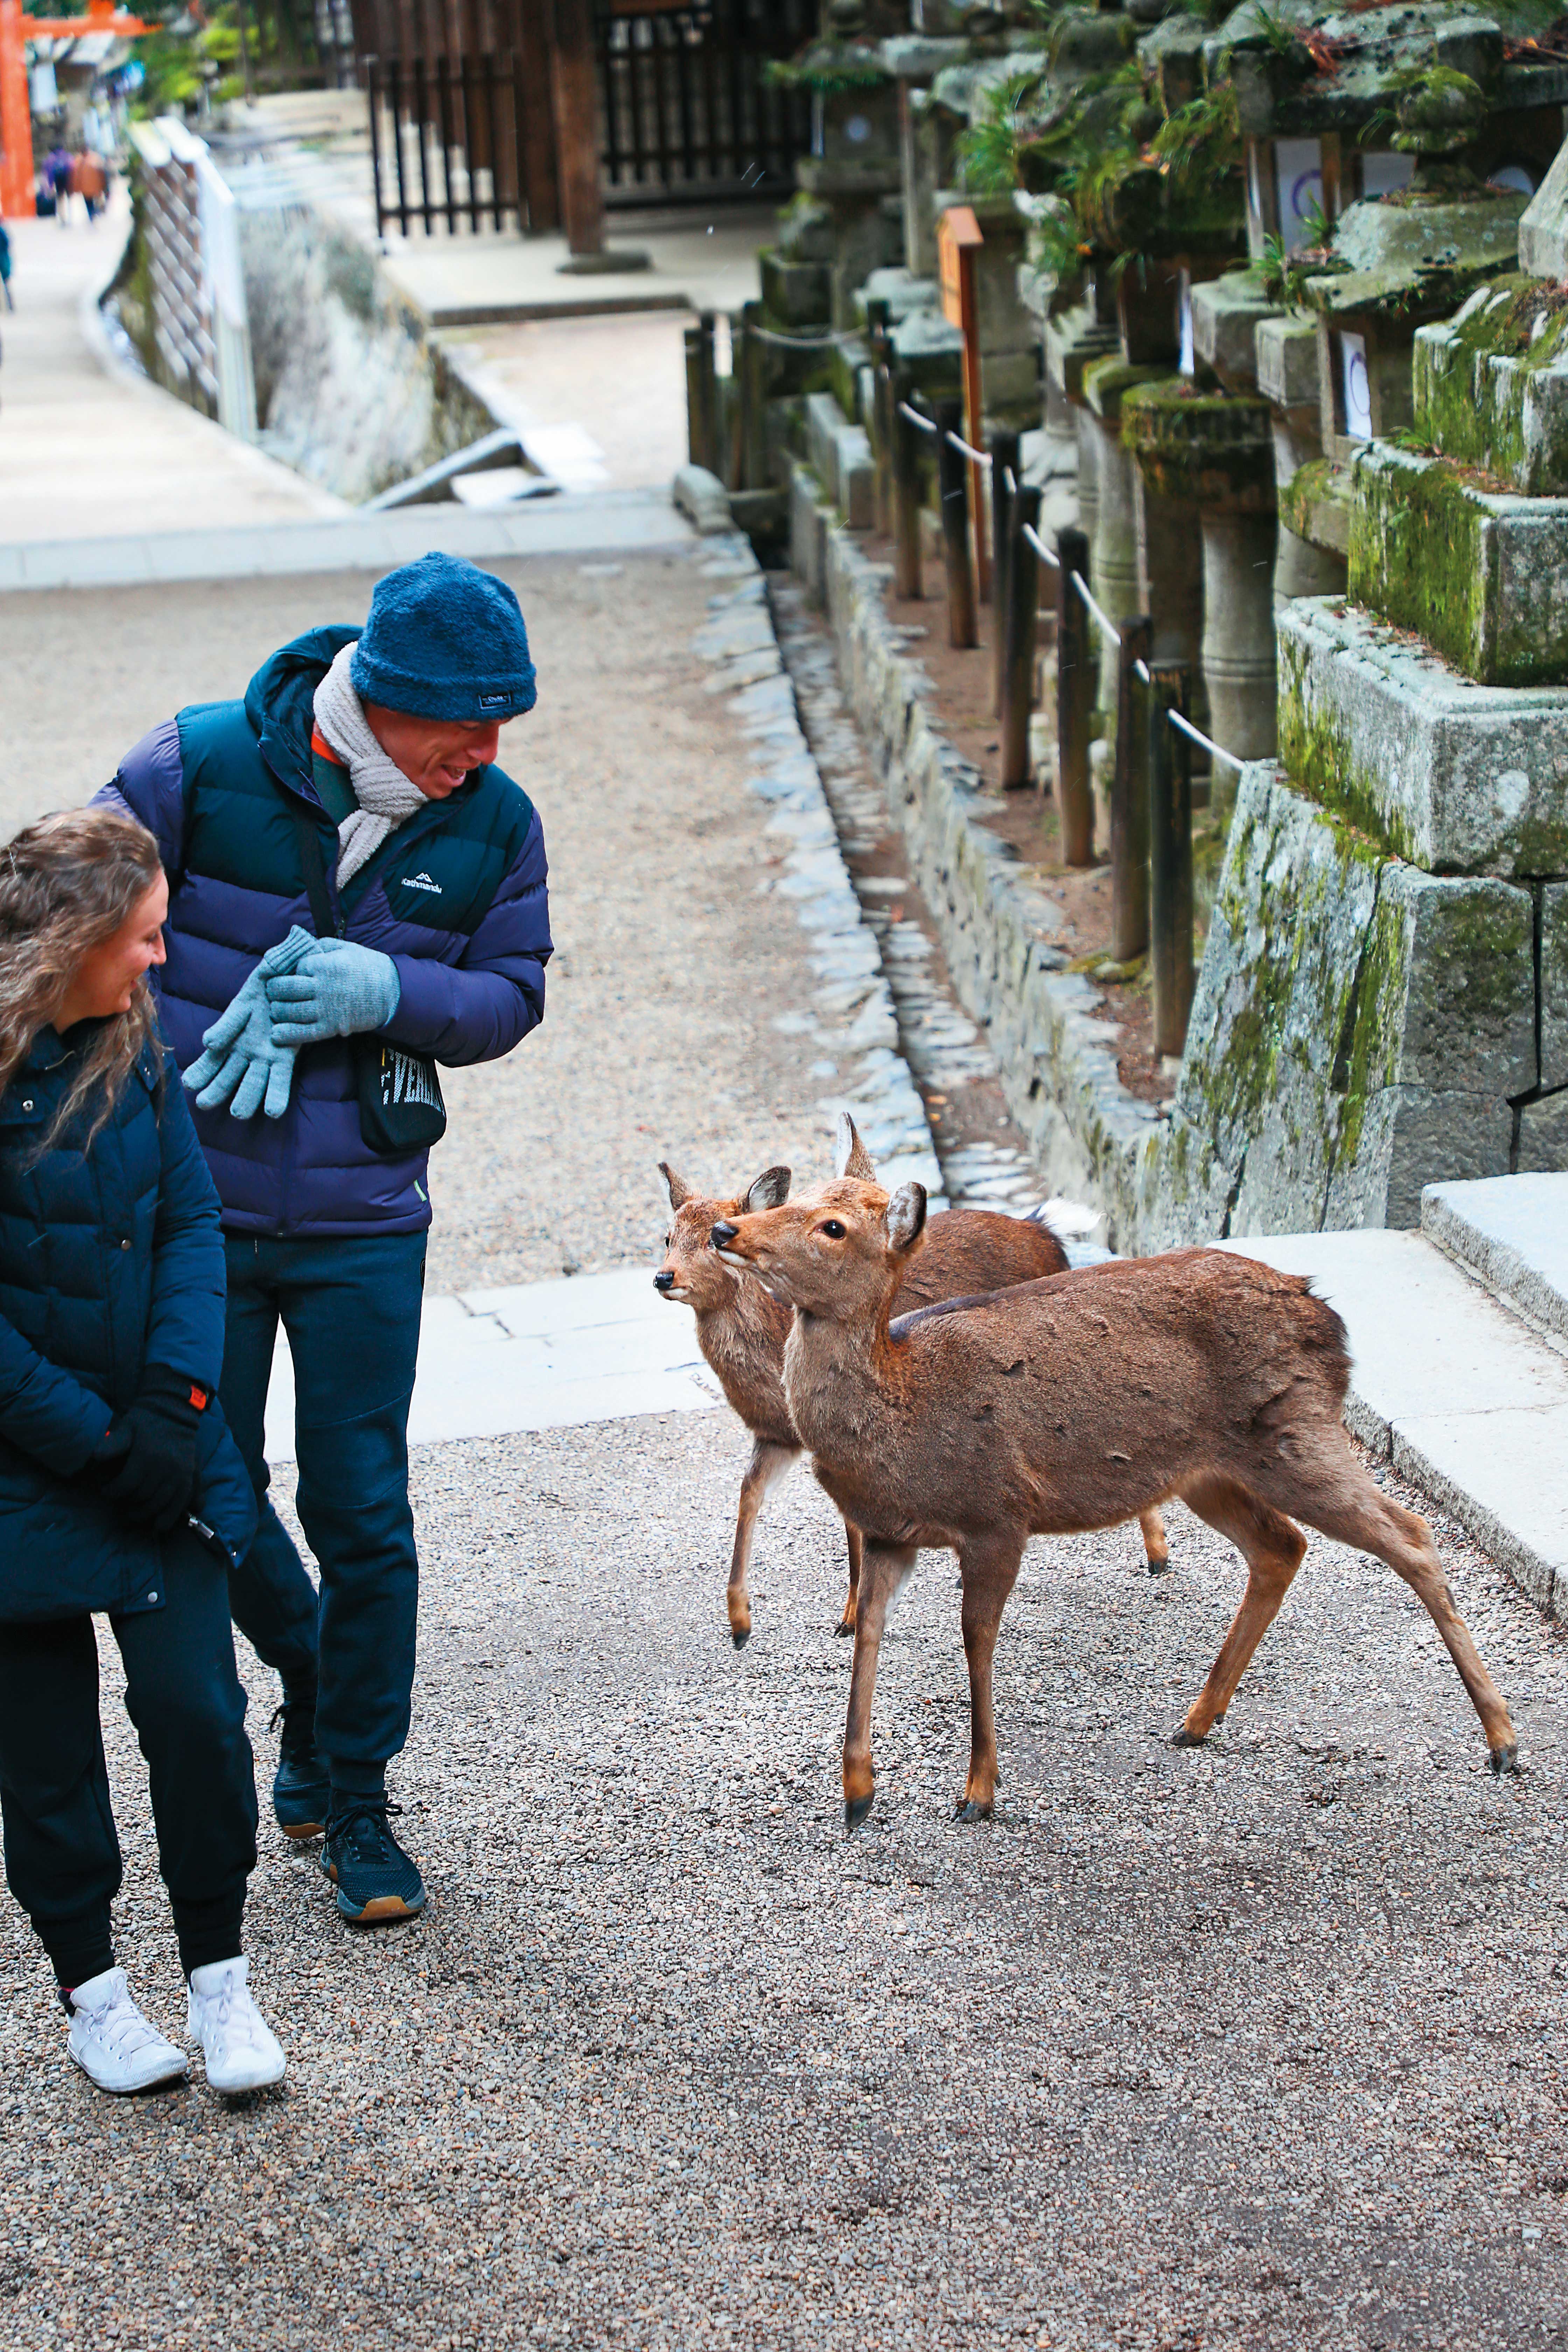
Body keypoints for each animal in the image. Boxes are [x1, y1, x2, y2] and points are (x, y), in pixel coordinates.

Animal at [654, 1114, 1169, 1646]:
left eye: (708, 1242)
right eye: (667, 1238)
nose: (664, 1278)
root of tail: (1044, 1231)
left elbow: (851, 1528)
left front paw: (848, 1618)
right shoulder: (775, 1435)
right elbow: (748, 1495)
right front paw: (740, 1624)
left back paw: (1156, 1557)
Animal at [709, 1172, 1519, 1828]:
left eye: (833, 1227)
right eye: (798, 1199)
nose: (726, 1231)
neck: (901, 1415)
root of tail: (1329, 1321)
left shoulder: (998, 1516)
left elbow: (976, 1640)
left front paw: (977, 1794)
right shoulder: (888, 1535)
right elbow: (867, 1637)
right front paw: (857, 1794)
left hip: (1297, 1430)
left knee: (1410, 1533)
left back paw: (1503, 1741)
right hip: (1207, 1472)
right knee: (1281, 1546)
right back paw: (1196, 1720)